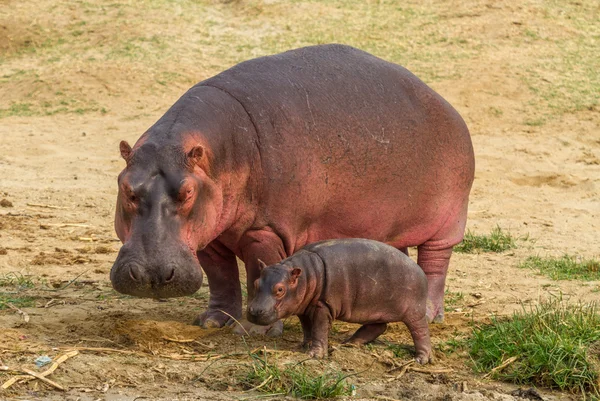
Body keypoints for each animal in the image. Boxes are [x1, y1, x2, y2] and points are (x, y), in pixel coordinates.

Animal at [111, 43, 474, 332]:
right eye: (125, 186)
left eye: (187, 192)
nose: (152, 275)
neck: (215, 153)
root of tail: (447, 105)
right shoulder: (210, 235)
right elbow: (221, 277)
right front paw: (213, 321)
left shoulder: (266, 230)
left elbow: (258, 270)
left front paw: (257, 330)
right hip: (385, 225)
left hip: (447, 220)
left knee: (435, 263)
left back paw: (430, 315)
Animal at [247, 236, 432, 364]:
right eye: (256, 283)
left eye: (280, 289)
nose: (254, 311)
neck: (306, 275)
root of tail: (420, 270)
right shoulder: (303, 308)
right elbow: (307, 328)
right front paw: (304, 345)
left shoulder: (322, 306)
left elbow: (319, 329)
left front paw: (315, 354)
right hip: (376, 308)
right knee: (378, 326)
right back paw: (349, 343)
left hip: (414, 311)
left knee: (420, 331)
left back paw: (421, 359)